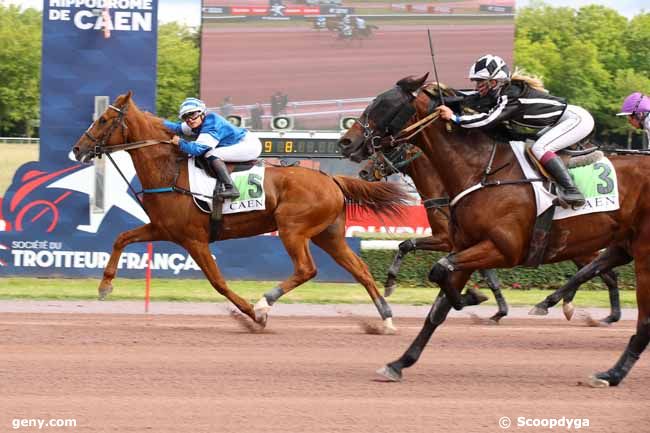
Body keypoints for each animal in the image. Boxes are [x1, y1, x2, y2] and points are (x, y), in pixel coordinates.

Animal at [360, 145, 616, 324]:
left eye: (388, 149)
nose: (363, 170)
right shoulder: (475, 242)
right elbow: (407, 244)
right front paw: (497, 309)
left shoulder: (451, 241)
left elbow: (408, 245)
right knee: (599, 271)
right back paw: (596, 311)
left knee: (600, 272)